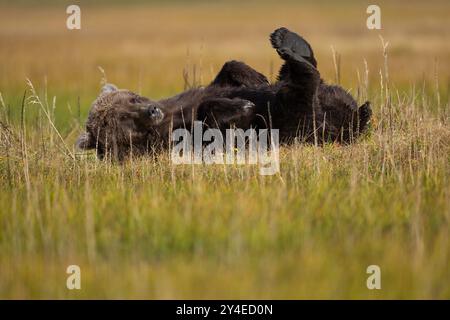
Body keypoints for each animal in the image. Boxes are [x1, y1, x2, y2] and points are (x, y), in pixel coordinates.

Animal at [77, 28, 370, 160]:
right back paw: (288, 48)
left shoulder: (185, 98)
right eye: (122, 119)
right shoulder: (178, 137)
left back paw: (288, 40)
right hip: (298, 123)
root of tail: (351, 120)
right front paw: (242, 105)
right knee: (302, 92)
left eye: (132, 99)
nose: (151, 110)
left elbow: (227, 72)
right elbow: (210, 120)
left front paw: (255, 78)